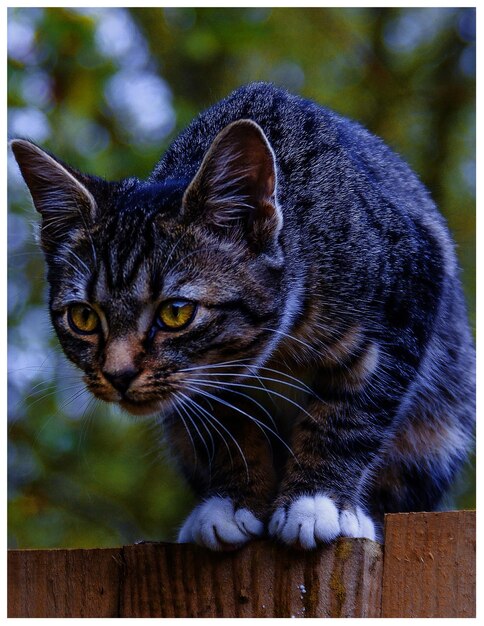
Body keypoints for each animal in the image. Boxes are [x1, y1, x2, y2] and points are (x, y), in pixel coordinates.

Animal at [11, 81, 476, 544]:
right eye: (83, 317)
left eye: (176, 312)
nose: (118, 375)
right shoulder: (205, 381)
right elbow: (225, 429)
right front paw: (232, 502)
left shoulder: (410, 285)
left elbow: (352, 411)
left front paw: (316, 501)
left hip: (440, 428)